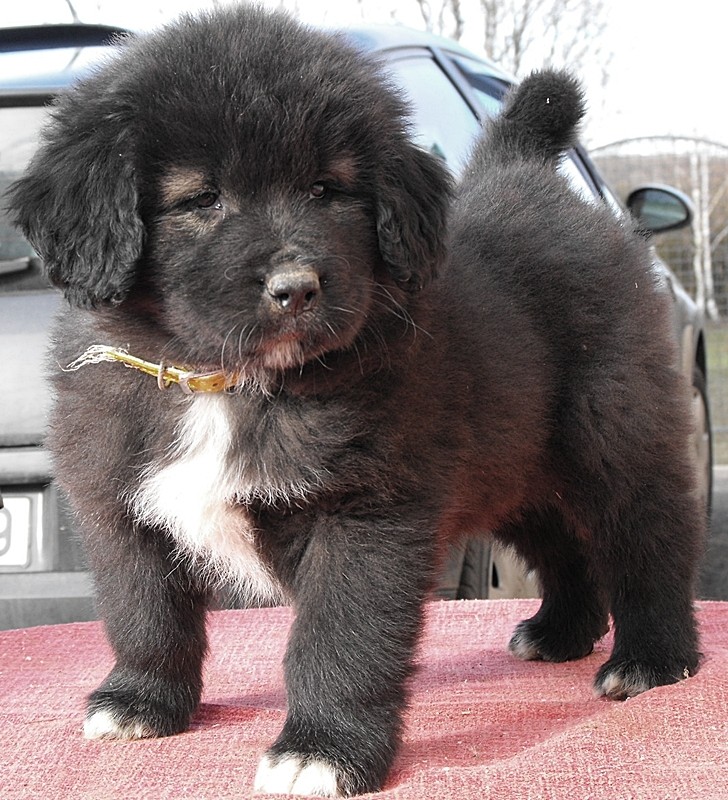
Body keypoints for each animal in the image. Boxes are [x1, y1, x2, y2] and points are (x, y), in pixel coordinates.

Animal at [8, 6, 703, 797]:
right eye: (202, 198)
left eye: (326, 189)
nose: (296, 288)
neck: (225, 383)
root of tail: (523, 172)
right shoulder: (121, 505)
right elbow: (143, 613)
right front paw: (139, 702)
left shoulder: (367, 511)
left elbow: (339, 638)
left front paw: (324, 749)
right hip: (515, 460)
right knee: (562, 540)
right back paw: (560, 632)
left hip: (613, 427)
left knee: (649, 533)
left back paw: (651, 658)